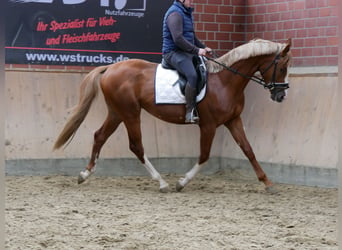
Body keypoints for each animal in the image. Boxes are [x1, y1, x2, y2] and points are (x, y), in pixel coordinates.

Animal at [53, 38, 292, 192]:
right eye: (282, 67)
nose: (281, 95)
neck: (225, 81)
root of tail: (111, 68)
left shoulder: (233, 121)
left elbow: (248, 150)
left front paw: (267, 183)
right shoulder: (208, 125)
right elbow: (204, 156)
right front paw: (181, 182)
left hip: (116, 112)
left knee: (99, 136)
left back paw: (84, 174)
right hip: (130, 113)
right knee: (136, 146)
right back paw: (162, 183)